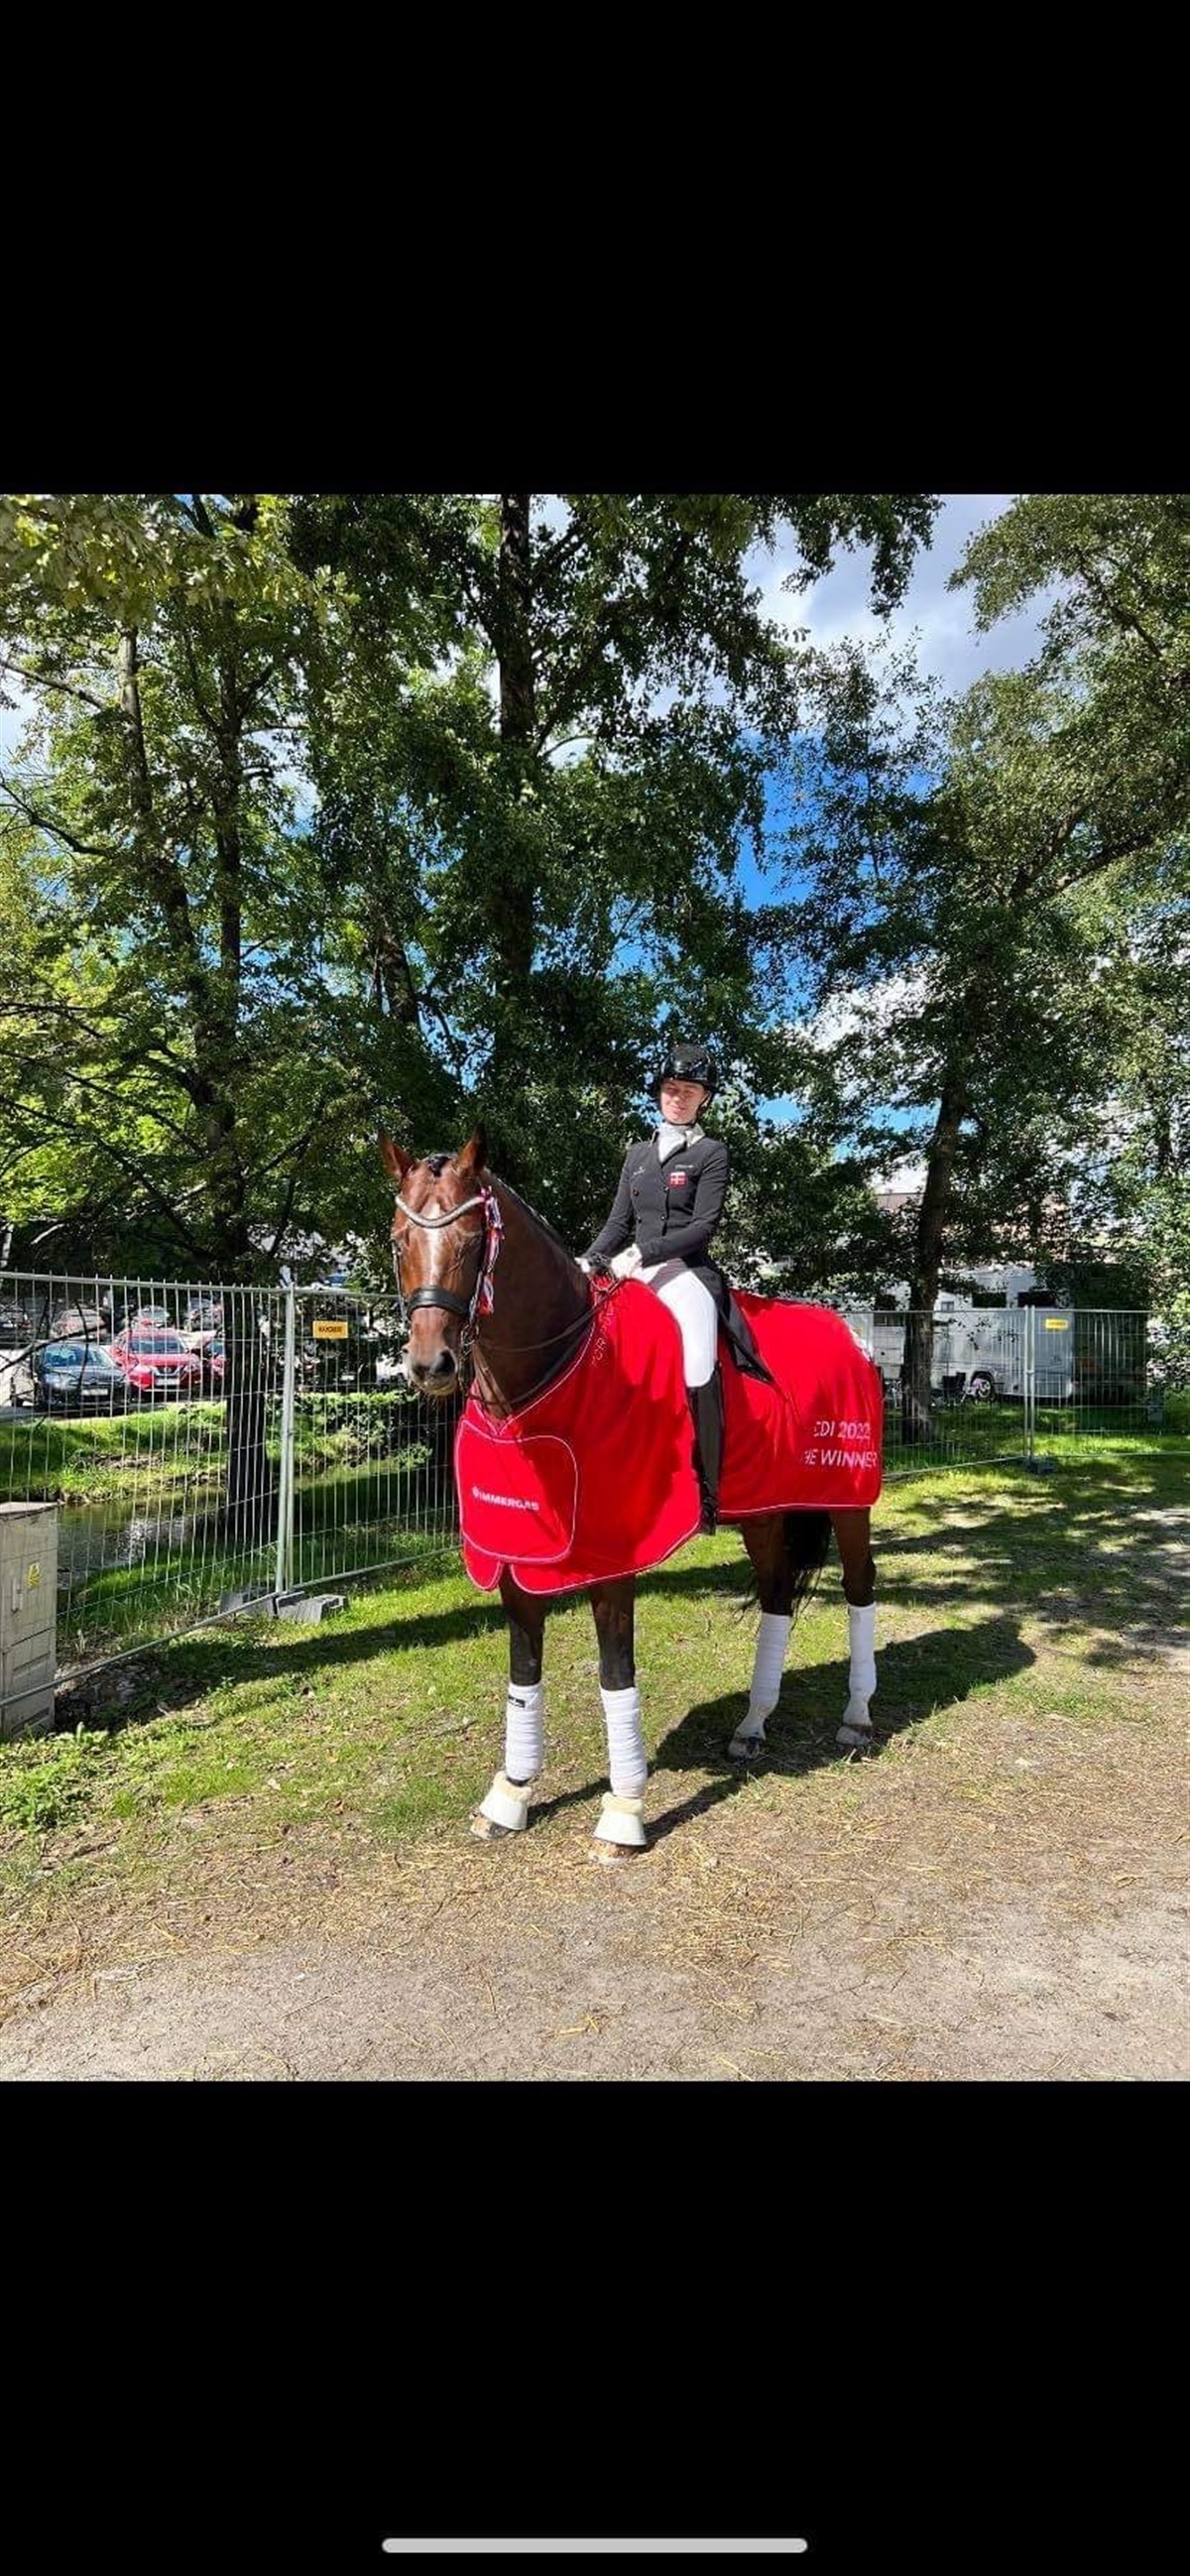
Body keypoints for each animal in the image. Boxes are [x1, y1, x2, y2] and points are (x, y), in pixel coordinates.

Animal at [380, 1128, 880, 1863]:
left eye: (472, 1239)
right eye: (397, 1240)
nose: (429, 1364)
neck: (551, 1377)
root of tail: (851, 1336)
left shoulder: (612, 1561)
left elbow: (616, 1676)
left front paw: (623, 1812)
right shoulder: (517, 1555)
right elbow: (523, 1674)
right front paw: (511, 1795)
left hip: (848, 1501)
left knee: (859, 1588)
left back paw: (857, 1715)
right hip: (763, 1512)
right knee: (777, 1597)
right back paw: (753, 1725)